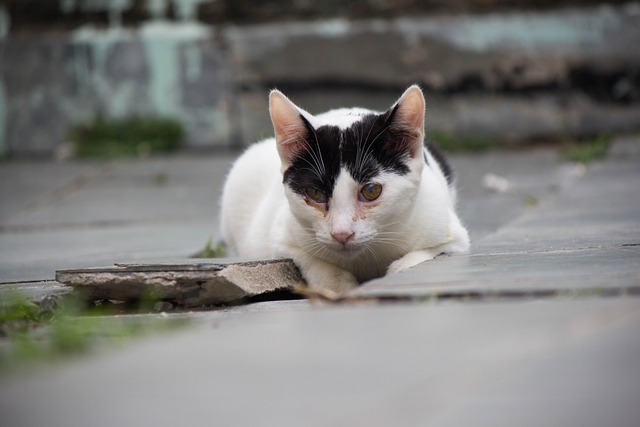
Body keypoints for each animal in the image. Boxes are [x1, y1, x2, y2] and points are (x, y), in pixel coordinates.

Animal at [220, 85, 470, 296]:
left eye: (371, 190)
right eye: (315, 193)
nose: (341, 234)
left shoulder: (453, 236)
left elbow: (425, 255)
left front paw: (398, 269)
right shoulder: (282, 239)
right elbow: (313, 263)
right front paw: (341, 287)